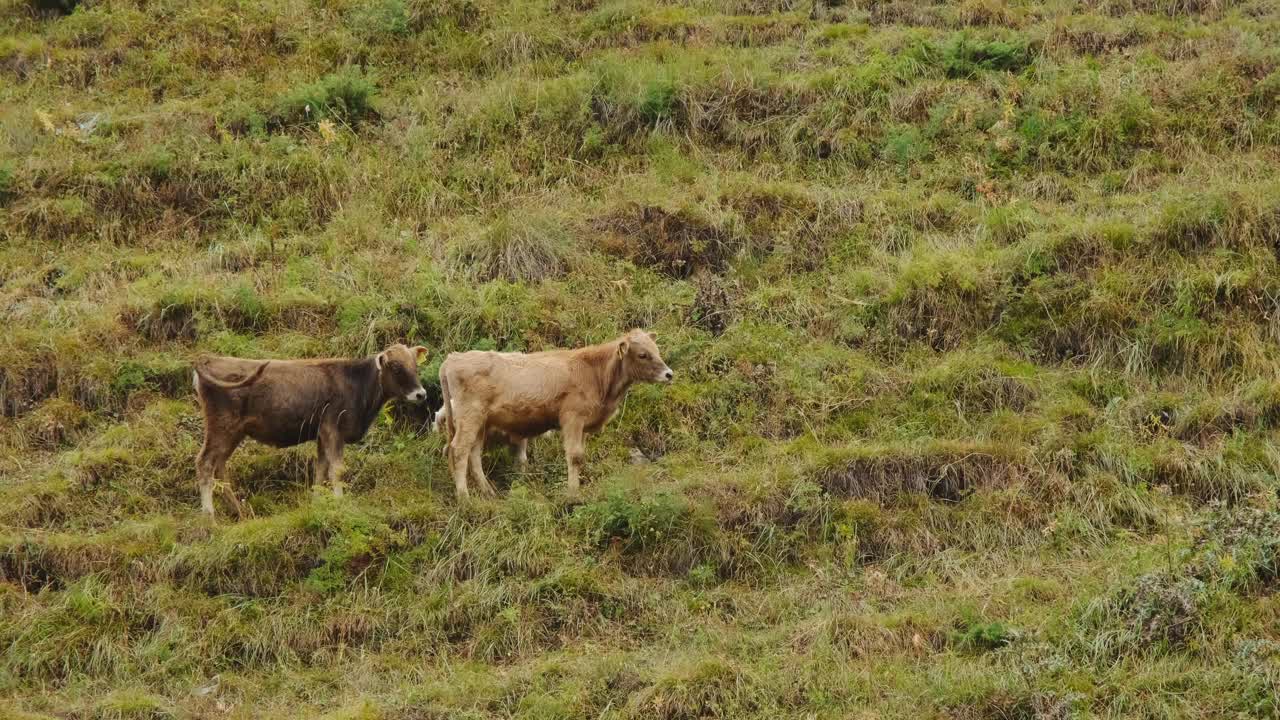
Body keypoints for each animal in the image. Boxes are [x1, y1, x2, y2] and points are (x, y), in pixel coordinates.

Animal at [192, 343, 427, 515]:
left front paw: (317, 503)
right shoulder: (332, 429)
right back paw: (210, 517)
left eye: (415, 366)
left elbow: (321, 470)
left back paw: (240, 512)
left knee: (220, 466)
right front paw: (340, 503)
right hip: (221, 426)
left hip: (233, 432)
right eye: (396, 367)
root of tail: (210, 358)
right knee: (205, 463)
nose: (421, 394)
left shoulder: (321, 434)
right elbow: (336, 469)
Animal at [440, 327, 675, 497]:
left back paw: (488, 492)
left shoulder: (584, 426)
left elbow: (581, 456)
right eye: (643, 354)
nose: (669, 374)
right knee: (459, 450)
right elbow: (574, 456)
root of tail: (453, 358)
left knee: (473, 454)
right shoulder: (572, 418)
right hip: (470, 416)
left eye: (657, 350)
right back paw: (464, 498)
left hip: (480, 421)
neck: (595, 374)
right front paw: (572, 494)